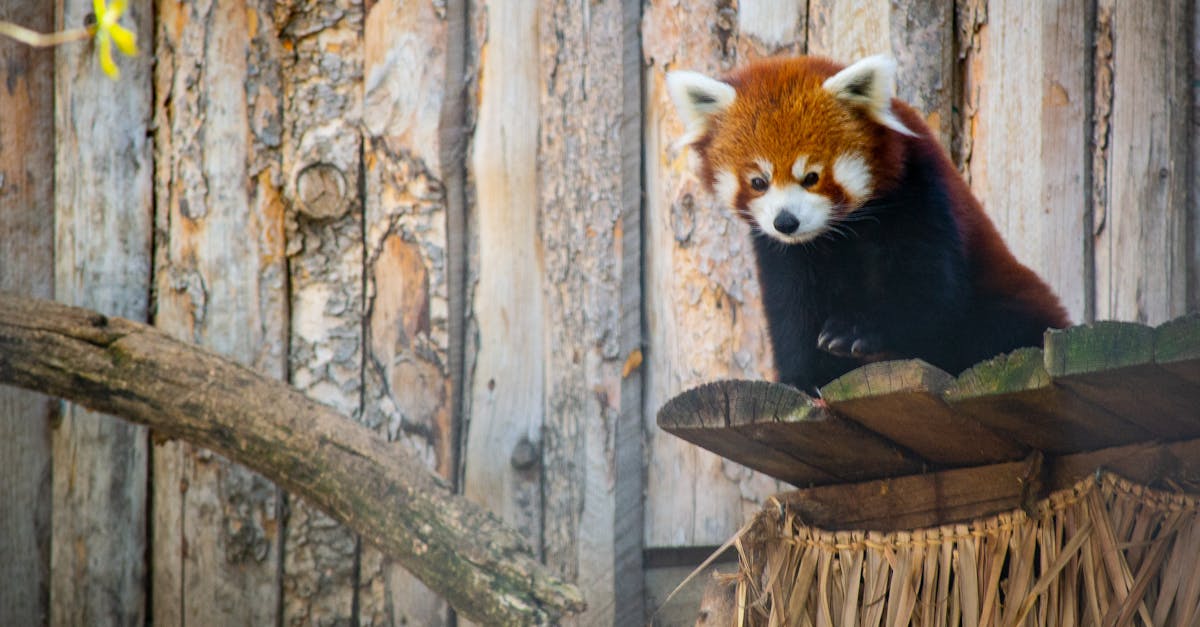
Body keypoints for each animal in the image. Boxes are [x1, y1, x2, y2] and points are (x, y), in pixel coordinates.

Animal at [667, 57, 1070, 389]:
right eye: (758, 182)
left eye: (811, 177)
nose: (786, 222)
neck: (839, 233)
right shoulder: (783, 253)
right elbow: (791, 310)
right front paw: (803, 378)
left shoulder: (919, 198)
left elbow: (930, 294)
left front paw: (855, 332)